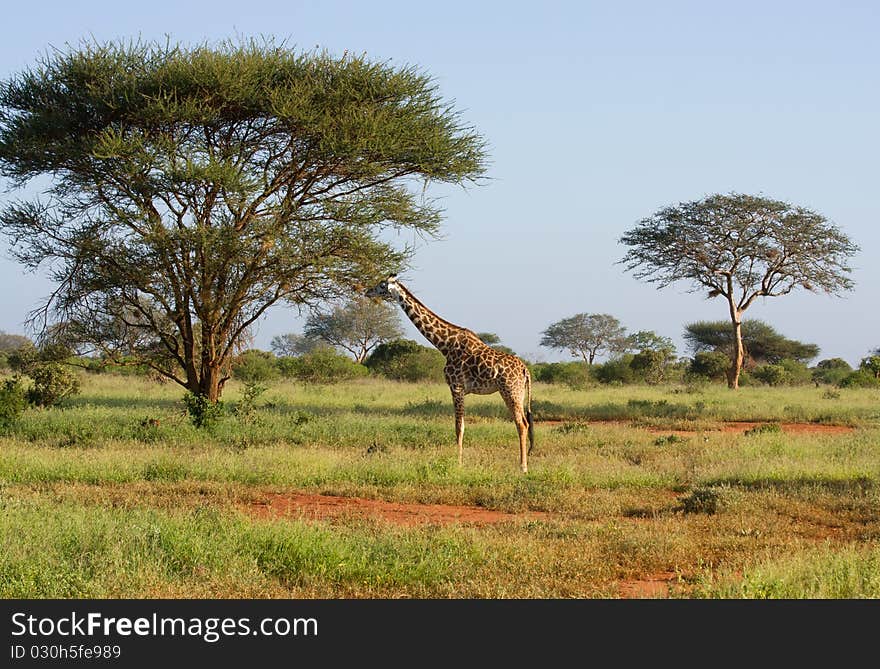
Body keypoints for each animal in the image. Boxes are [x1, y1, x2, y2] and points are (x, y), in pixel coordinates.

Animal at [366, 274, 536, 472]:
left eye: (381, 285)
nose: (367, 292)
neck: (445, 345)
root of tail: (525, 370)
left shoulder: (457, 387)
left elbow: (459, 427)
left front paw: (458, 464)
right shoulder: (459, 389)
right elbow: (460, 426)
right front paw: (459, 461)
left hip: (510, 390)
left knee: (521, 423)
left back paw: (523, 467)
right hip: (519, 392)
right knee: (524, 422)